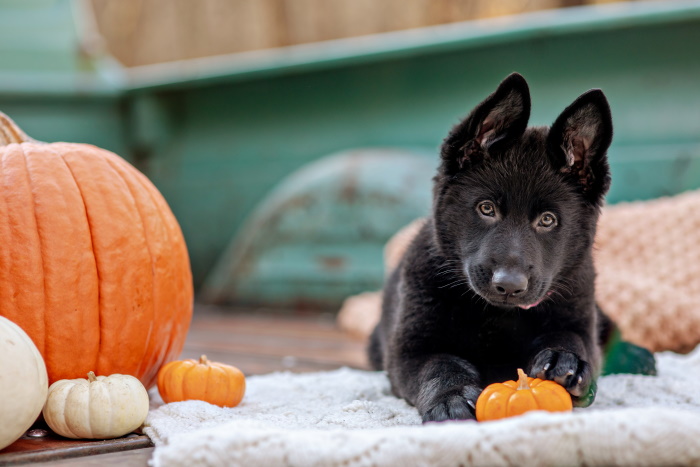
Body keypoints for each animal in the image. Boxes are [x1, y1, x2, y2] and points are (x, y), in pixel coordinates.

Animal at [370, 73, 616, 424]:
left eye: (548, 220)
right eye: (486, 209)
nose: (509, 285)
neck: (499, 316)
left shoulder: (578, 319)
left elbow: (573, 338)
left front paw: (563, 359)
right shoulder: (409, 350)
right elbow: (439, 364)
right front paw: (452, 396)